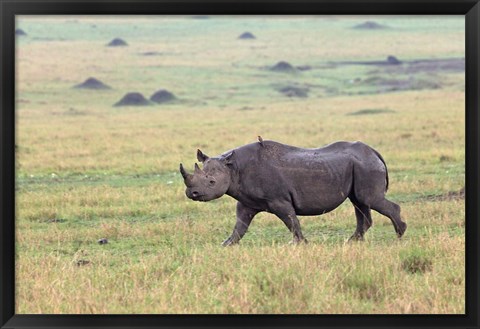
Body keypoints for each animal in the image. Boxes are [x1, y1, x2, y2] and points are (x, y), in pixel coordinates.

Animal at [180, 137, 404, 245]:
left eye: (211, 182)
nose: (192, 194)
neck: (233, 167)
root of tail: (374, 152)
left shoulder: (278, 200)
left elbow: (291, 221)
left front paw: (299, 244)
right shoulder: (246, 201)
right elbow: (240, 226)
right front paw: (225, 244)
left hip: (365, 166)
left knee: (370, 199)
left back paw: (399, 236)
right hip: (360, 166)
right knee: (360, 202)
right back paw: (352, 242)